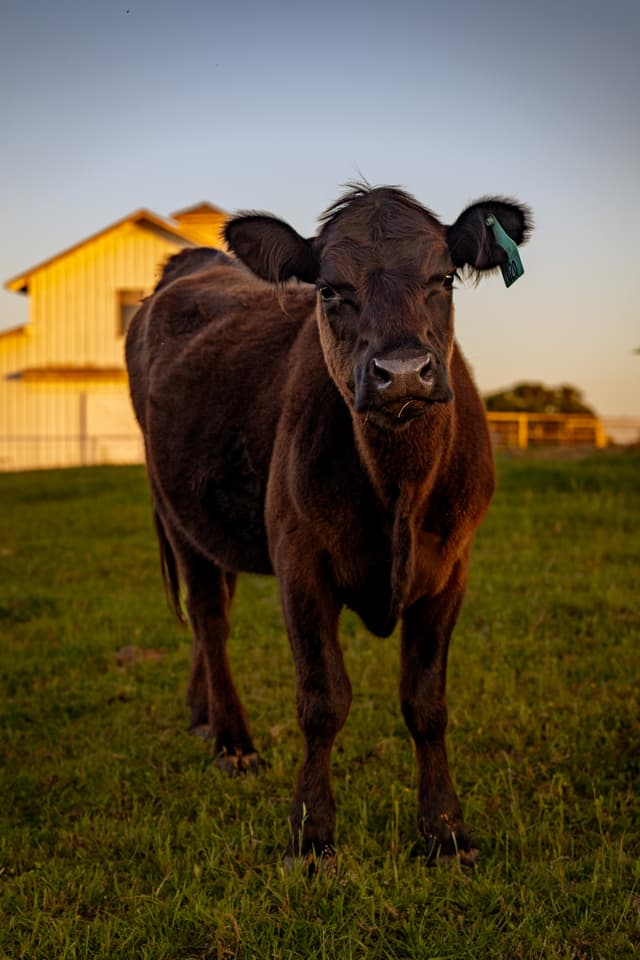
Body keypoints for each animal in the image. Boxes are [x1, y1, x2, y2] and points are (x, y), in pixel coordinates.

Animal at [126, 183, 532, 865]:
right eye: (329, 290)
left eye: (443, 278)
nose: (402, 372)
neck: (398, 488)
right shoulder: (300, 561)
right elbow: (322, 700)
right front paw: (311, 832)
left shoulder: (452, 567)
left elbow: (426, 701)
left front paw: (446, 831)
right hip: (176, 511)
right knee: (210, 619)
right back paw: (233, 742)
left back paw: (202, 715)